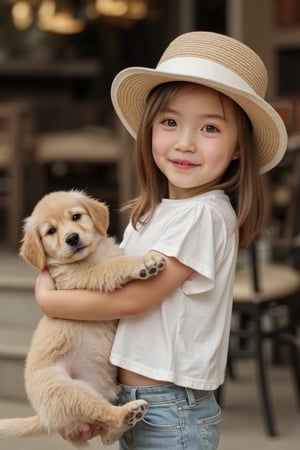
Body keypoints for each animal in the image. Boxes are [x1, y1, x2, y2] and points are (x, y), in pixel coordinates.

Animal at [0, 190, 165, 446]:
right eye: (51, 231)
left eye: (76, 216)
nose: (72, 238)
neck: (93, 255)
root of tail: (45, 419)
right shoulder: (83, 276)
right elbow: (115, 265)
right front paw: (144, 262)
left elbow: (115, 259)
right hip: (65, 389)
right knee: (103, 413)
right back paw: (128, 412)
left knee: (106, 433)